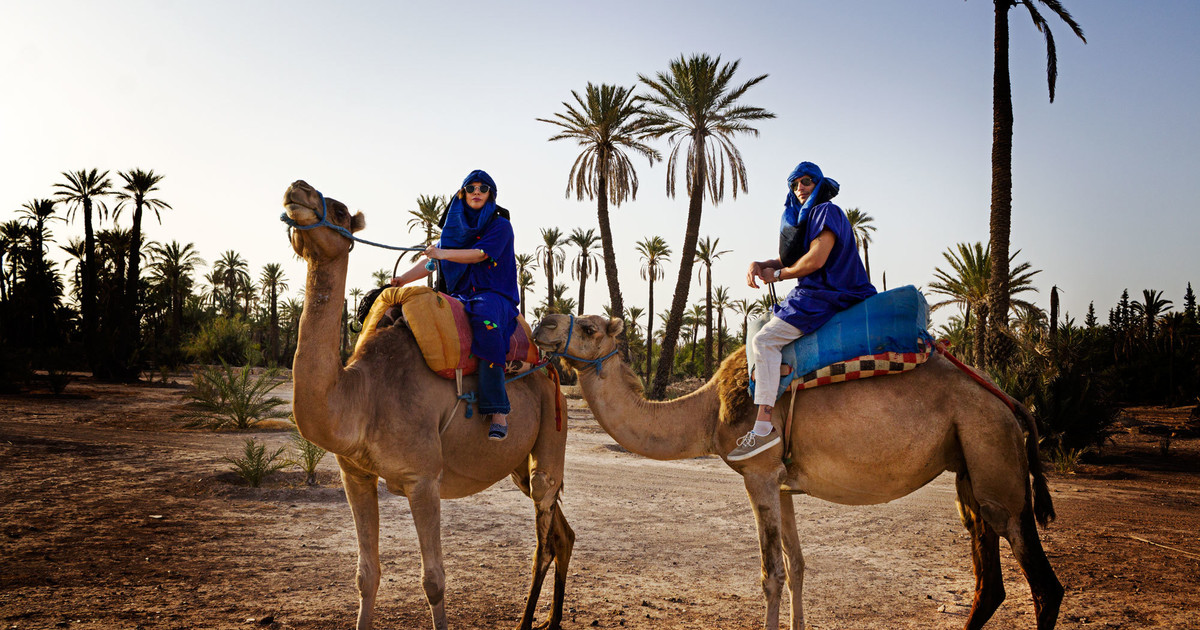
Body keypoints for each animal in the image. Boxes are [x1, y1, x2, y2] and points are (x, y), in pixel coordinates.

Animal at [280, 177, 571, 628]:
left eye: (341, 210)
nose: (298, 188)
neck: (363, 396)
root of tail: (550, 369)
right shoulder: (354, 474)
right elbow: (366, 575)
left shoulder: (423, 479)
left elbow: (433, 580)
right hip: (519, 466)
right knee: (563, 535)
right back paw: (551, 619)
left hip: (553, 433)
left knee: (545, 536)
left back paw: (527, 621)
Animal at [532, 314, 1060, 628]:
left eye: (590, 328)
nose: (541, 322)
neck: (705, 412)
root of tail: (1010, 402)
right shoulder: (783, 486)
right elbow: (798, 565)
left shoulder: (759, 474)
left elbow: (771, 572)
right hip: (970, 468)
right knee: (989, 582)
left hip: (995, 459)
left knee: (1043, 585)